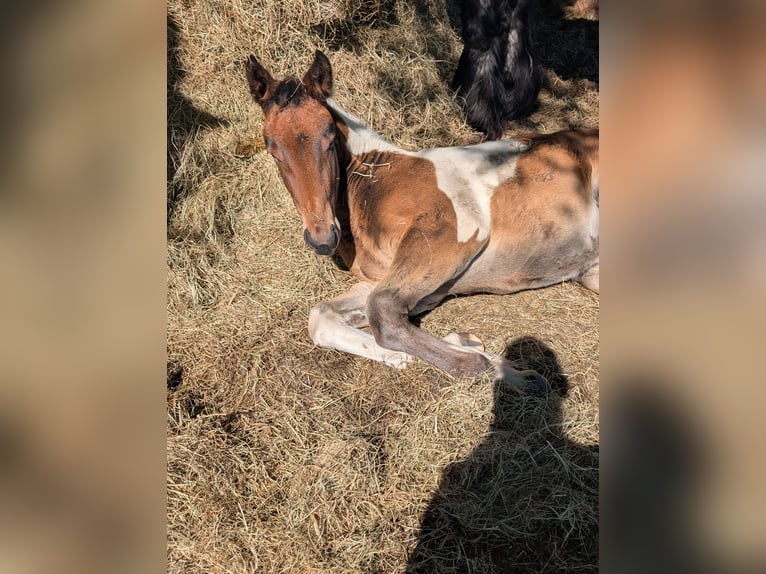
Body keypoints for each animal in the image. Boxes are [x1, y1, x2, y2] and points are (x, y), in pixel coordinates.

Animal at [245, 50, 598, 392]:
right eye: (272, 148)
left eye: (329, 137)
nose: (322, 238)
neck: (378, 182)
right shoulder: (384, 277)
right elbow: (323, 316)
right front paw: (413, 355)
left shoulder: (448, 239)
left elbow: (383, 314)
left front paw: (511, 372)